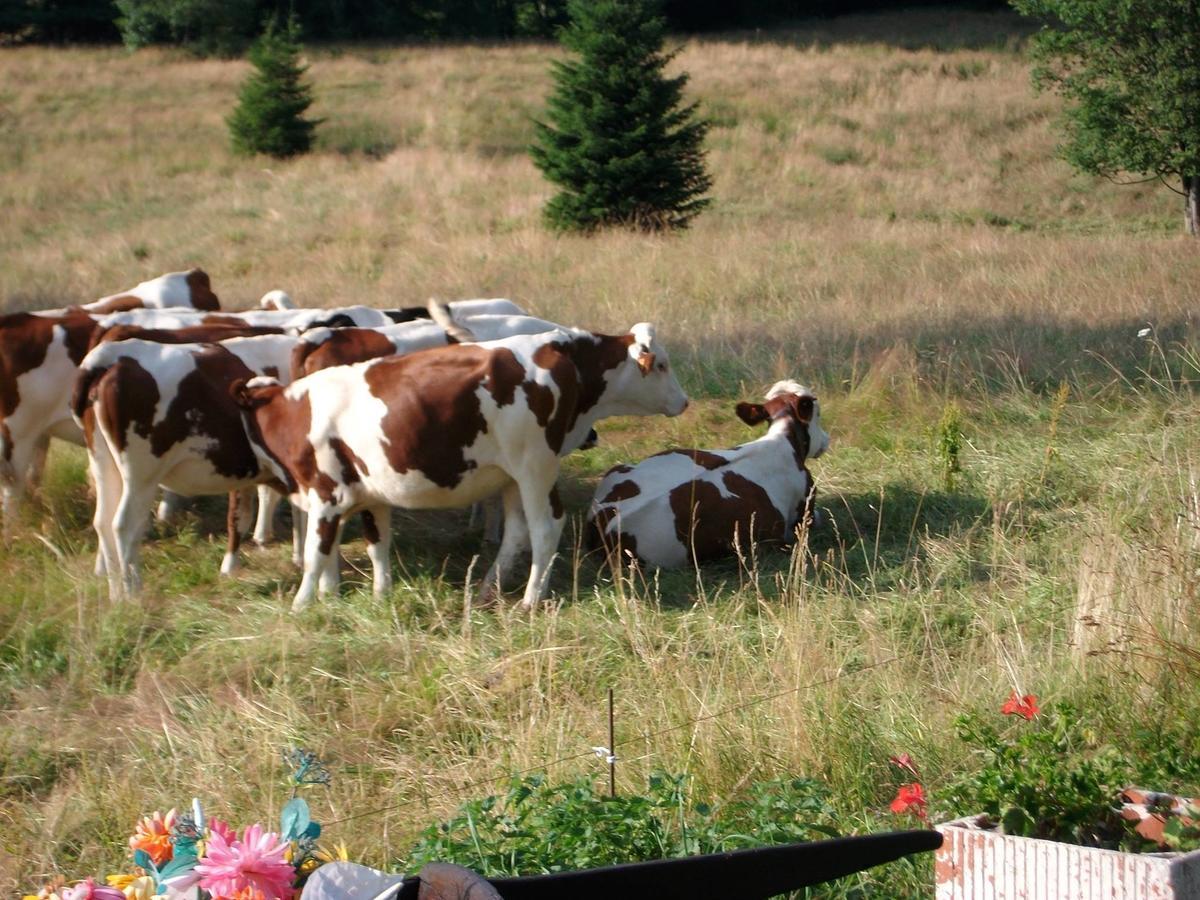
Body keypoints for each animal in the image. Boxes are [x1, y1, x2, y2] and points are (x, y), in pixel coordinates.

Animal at [234, 324, 691, 614]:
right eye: (662, 365)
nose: (685, 401)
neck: (295, 413)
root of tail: (554, 344)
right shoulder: (361, 493)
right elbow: (369, 545)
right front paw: (365, 597)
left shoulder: (328, 494)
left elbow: (316, 553)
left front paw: (301, 605)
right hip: (513, 475)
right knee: (518, 532)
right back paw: (489, 588)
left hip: (535, 467)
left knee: (546, 528)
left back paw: (530, 600)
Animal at [585, 381, 830, 571]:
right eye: (817, 414)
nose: (826, 440)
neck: (782, 439)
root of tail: (607, 520)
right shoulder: (803, 515)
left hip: (617, 469)